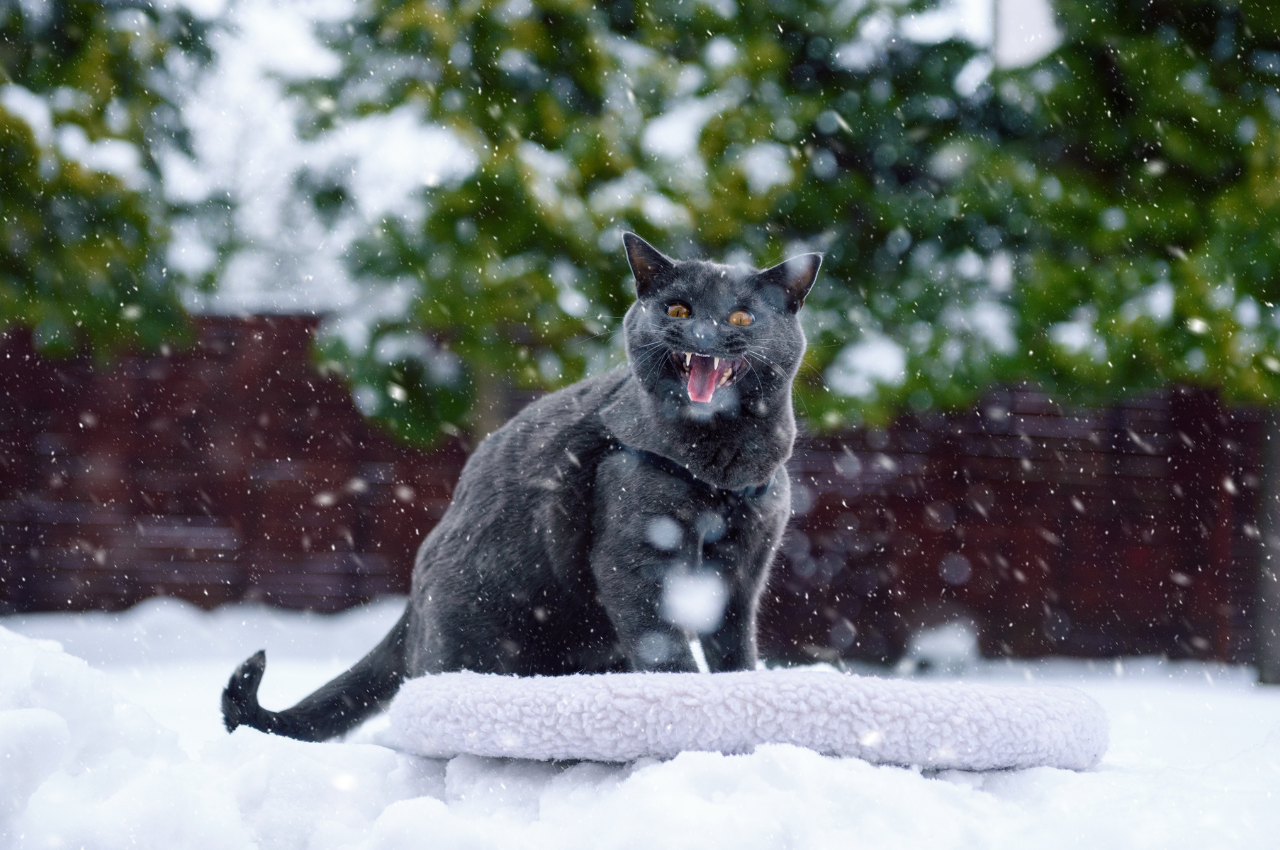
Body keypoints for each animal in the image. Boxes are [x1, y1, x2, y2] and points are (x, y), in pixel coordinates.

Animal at [220, 235, 819, 742]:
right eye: (677, 310)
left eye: (741, 315)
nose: (701, 335)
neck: (722, 470)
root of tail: (412, 601)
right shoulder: (635, 560)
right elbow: (665, 649)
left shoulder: (743, 568)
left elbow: (734, 649)